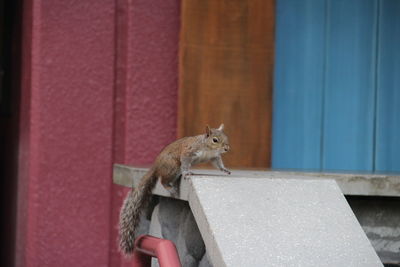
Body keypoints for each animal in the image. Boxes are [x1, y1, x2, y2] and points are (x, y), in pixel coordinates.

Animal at [118, 124, 231, 256]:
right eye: (215, 140)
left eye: (226, 137)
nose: (226, 148)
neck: (207, 148)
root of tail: (156, 166)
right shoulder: (189, 152)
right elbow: (186, 162)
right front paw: (187, 172)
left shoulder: (214, 156)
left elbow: (218, 163)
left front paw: (225, 169)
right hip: (173, 167)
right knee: (163, 181)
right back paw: (171, 188)